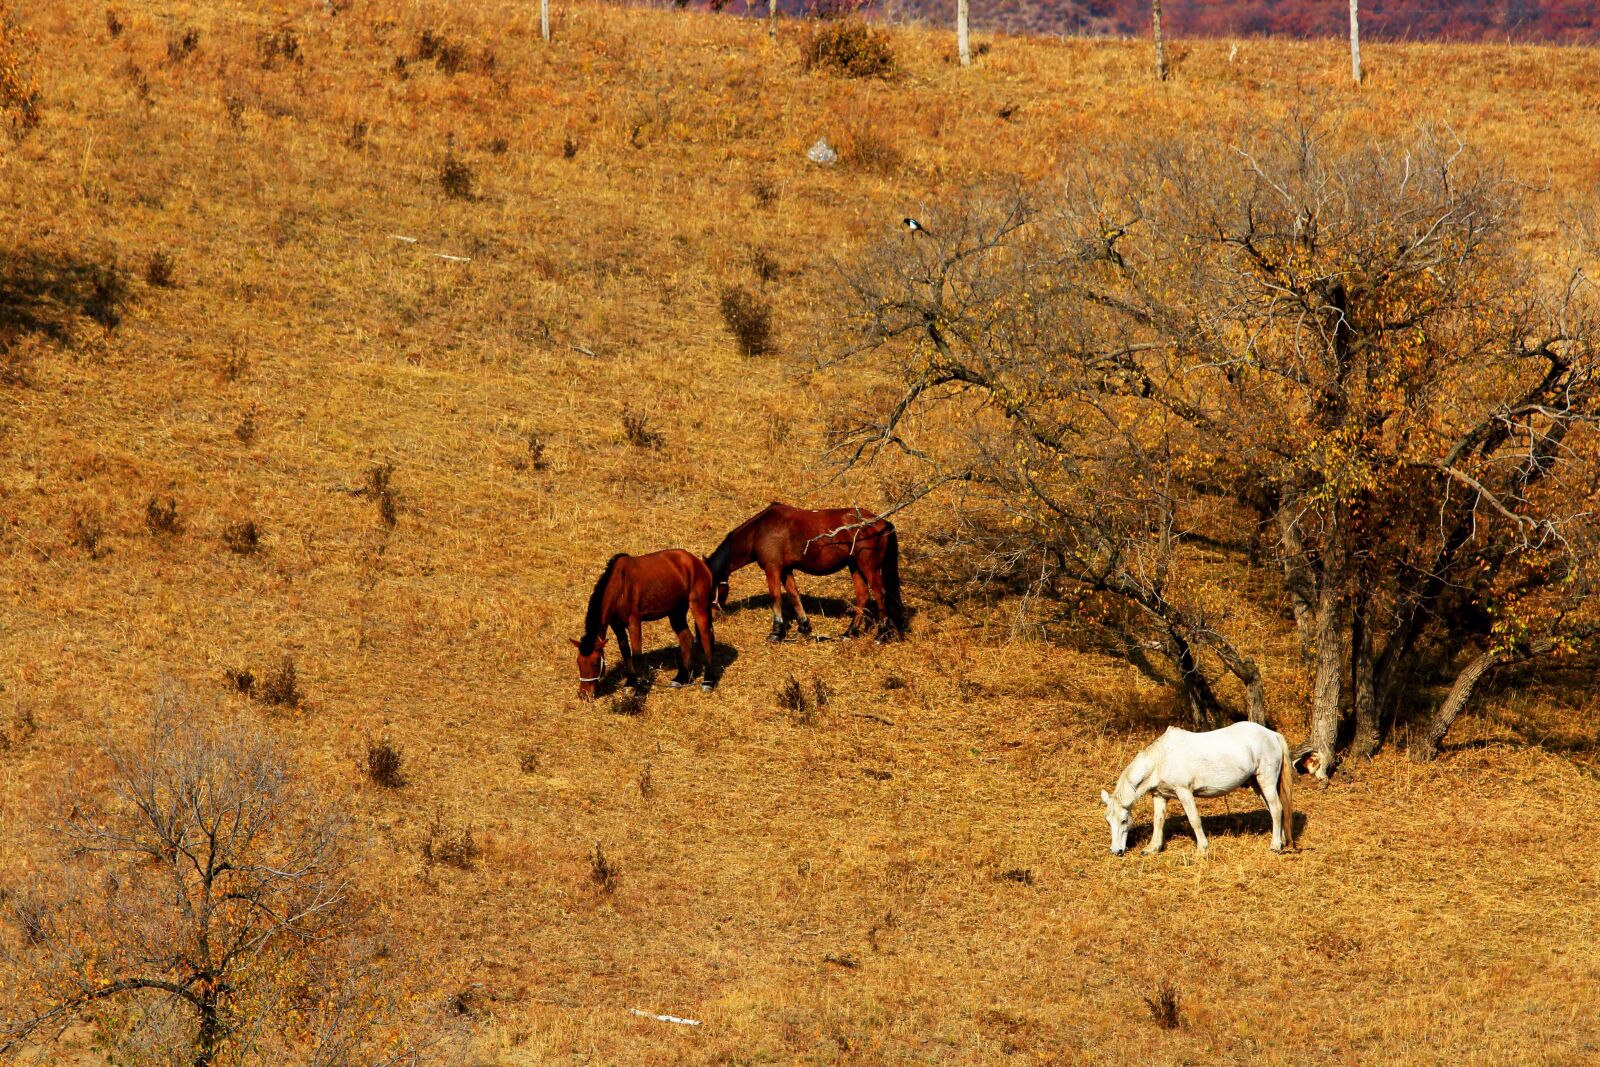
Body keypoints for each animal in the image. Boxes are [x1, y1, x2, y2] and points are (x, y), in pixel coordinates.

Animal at [572, 550, 716, 700]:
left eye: (595, 664)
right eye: (578, 663)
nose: (583, 694)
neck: (620, 585)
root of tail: (699, 563)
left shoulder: (634, 623)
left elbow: (636, 655)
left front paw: (639, 689)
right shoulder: (617, 626)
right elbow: (625, 651)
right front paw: (630, 683)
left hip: (698, 606)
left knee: (706, 638)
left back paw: (708, 681)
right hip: (676, 611)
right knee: (686, 638)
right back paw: (681, 678)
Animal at [707, 502, 908, 643]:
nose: (713, 616)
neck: (759, 531)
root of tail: (881, 522)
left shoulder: (773, 568)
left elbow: (776, 597)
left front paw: (776, 632)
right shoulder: (786, 570)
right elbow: (794, 596)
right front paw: (803, 628)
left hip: (868, 567)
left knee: (880, 595)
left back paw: (881, 636)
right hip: (855, 567)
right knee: (863, 596)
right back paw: (848, 633)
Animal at [1100, 723, 1299, 857]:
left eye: (1124, 820)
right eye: (1108, 821)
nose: (1116, 851)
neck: (1161, 759)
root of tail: (1272, 735)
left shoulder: (1184, 792)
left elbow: (1194, 820)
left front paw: (1202, 849)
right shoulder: (1160, 796)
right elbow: (1158, 821)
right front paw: (1152, 848)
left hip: (1266, 781)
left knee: (1276, 809)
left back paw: (1275, 845)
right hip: (1257, 784)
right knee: (1275, 810)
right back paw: (1281, 841)